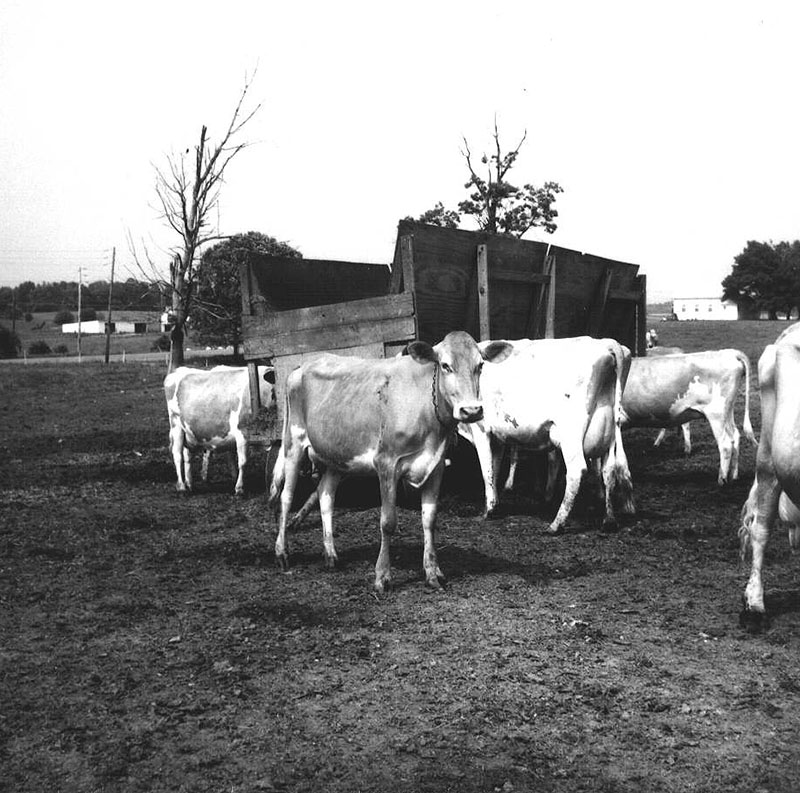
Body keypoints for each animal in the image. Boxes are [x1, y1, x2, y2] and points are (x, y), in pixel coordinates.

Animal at [163, 366, 276, 496]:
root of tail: (177, 371)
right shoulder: (242, 432)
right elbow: (243, 462)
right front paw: (239, 488)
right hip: (176, 426)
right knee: (177, 456)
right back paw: (181, 486)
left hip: (188, 432)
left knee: (187, 458)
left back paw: (189, 484)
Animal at [268, 330, 512, 592]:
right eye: (445, 365)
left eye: (480, 365)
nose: (472, 411)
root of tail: (304, 364)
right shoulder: (386, 462)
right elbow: (388, 522)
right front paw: (382, 576)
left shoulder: (436, 466)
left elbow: (430, 519)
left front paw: (432, 572)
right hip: (293, 441)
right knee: (286, 497)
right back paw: (281, 552)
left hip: (337, 455)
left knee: (325, 495)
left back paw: (331, 554)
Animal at [460, 338, 636, 536]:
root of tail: (607, 344)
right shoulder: (498, 437)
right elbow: (495, 467)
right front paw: (495, 504)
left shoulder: (481, 429)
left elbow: (486, 469)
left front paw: (489, 510)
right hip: (609, 434)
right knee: (609, 470)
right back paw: (609, 520)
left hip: (571, 434)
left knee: (576, 471)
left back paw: (556, 524)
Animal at [620, 352, 756, 486]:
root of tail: (731, 352)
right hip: (727, 411)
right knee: (735, 436)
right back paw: (734, 476)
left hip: (716, 413)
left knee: (726, 444)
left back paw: (721, 480)